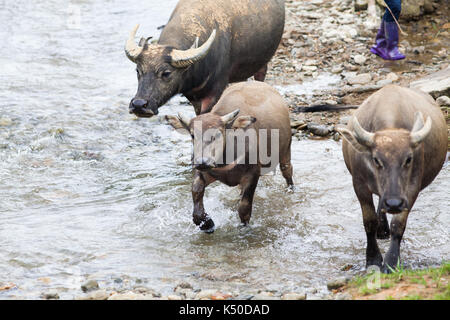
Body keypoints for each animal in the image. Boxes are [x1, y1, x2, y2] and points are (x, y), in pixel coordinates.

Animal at [123, 0, 284, 117]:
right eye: (138, 71)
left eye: (166, 73)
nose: (139, 105)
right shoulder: (193, 97)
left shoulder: (215, 91)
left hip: (262, 63)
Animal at [167, 82, 294, 232]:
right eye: (192, 134)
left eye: (217, 134)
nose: (203, 161)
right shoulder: (206, 172)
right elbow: (196, 190)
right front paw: (206, 223)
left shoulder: (253, 174)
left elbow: (244, 207)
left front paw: (244, 227)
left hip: (287, 148)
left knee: (287, 170)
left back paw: (291, 188)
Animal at [338, 85, 446, 272]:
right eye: (376, 159)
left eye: (409, 159)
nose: (394, 204)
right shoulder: (359, 185)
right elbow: (369, 221)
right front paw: (373, 258)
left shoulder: (411, 189)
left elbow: (398, 225)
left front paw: (390, 262)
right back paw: (382, 231)